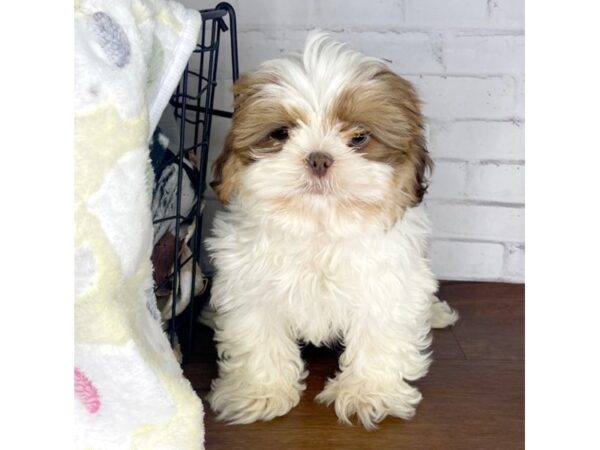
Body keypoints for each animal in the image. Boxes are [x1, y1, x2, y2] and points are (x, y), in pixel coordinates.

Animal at [206, 32, 460, 428]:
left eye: (359, 137)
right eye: (280, 133)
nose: (318, 158)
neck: (321, 226)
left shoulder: (386, 284)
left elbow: (380, 334)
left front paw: (368, 392)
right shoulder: (250, 285)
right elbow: (259, 335)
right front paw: (260, 391)